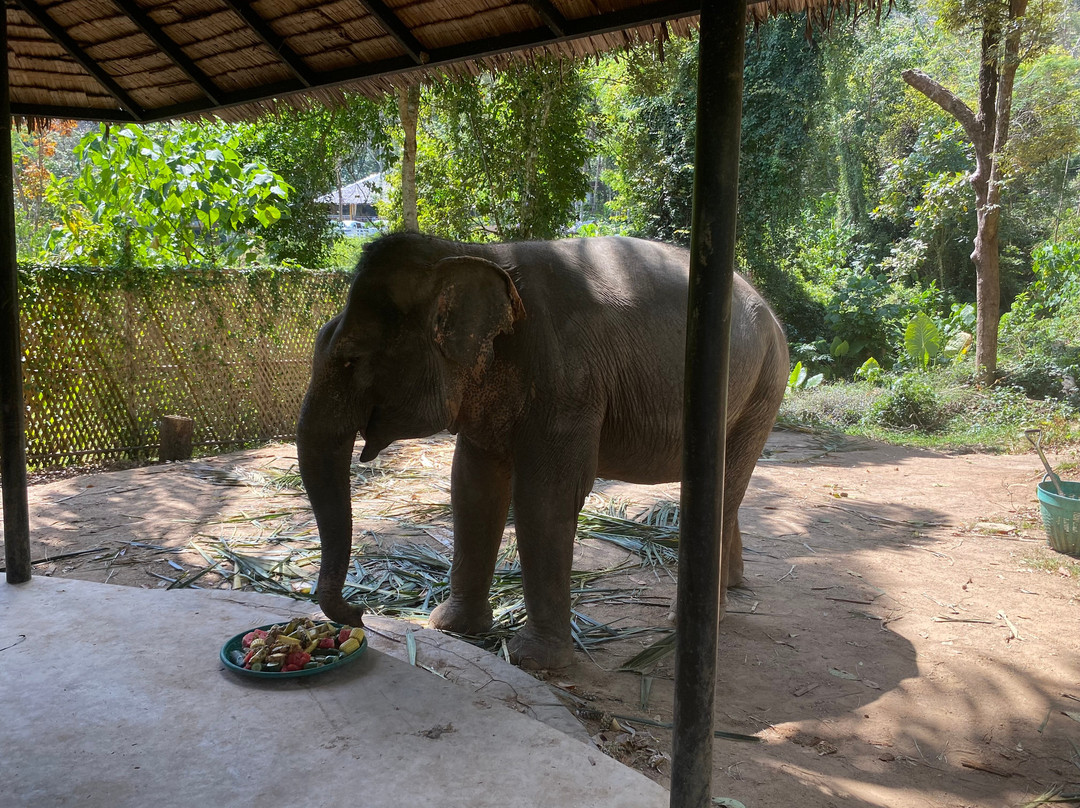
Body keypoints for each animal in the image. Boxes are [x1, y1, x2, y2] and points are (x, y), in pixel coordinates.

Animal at [297, 233, 789, 670]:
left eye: (352, 359)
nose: (360, 612)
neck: (470, 251)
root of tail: (770, 309)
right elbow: (473, 488)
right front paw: (451, 628)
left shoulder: (567, 384)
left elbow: (546, 497)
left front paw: (536, 661)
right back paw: (735, 586)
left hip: (762, 389)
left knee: (721, 491)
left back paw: (691, 620)